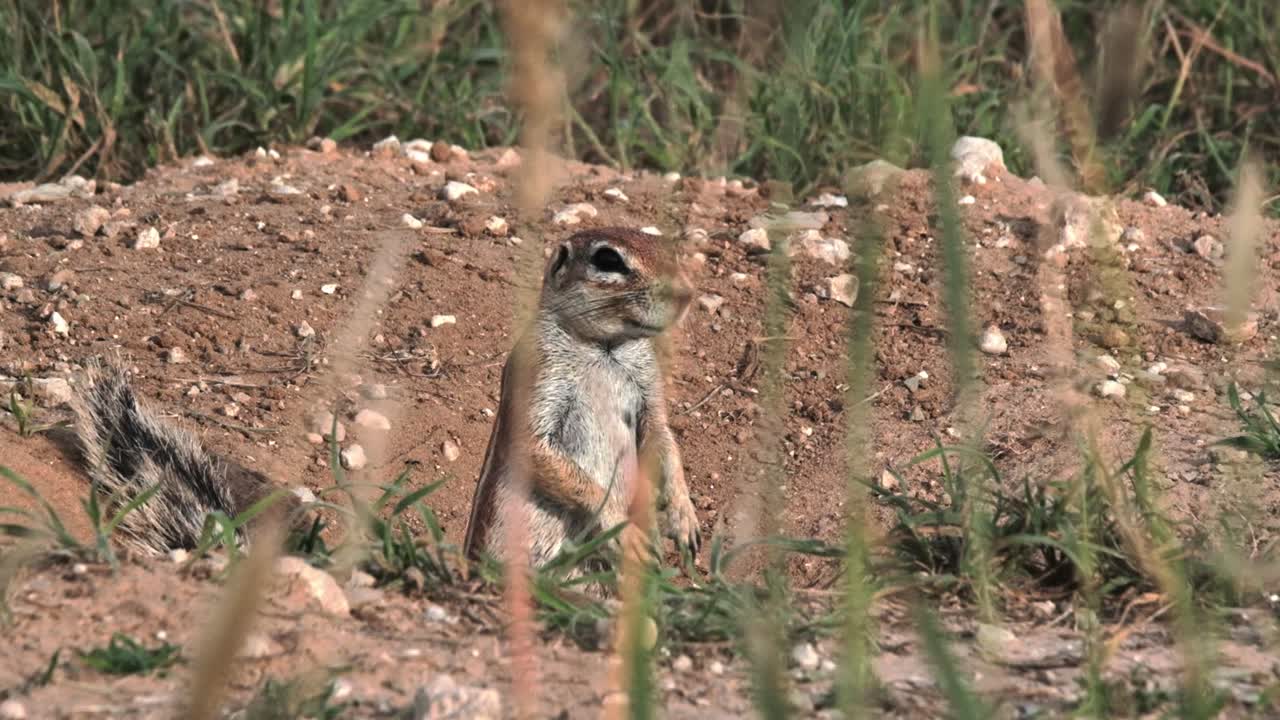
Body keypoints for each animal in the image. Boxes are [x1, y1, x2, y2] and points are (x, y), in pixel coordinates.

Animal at [463, 227, 701, 570]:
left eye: (667, 248)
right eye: (608, 259)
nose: (687, 295)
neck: (605, 347)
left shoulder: (649, 387)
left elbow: (664, 439)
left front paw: (684, 515)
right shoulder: (538, 371)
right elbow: (536, 446)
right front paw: (623, 531)